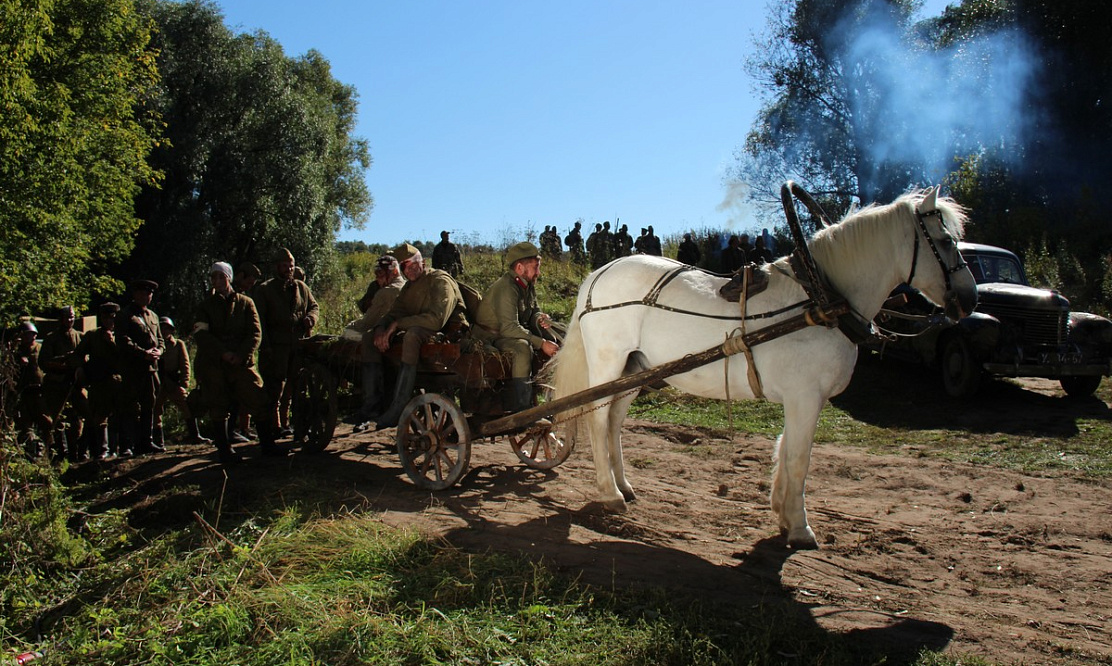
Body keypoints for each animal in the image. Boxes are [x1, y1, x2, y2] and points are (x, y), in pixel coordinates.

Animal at [551, 186, 978, 547]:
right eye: (945, 241)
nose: (968, 299)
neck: (820, 299)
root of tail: (597, 275)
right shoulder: (806, 396)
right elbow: (798, 459)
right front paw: (800, 528)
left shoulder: (802, 398)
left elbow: (786, 450)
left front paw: (784, 515)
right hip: (608, 363)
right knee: (597, 421)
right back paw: (609, 493)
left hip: (633, 371)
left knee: (614, 423)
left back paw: (623, 485)